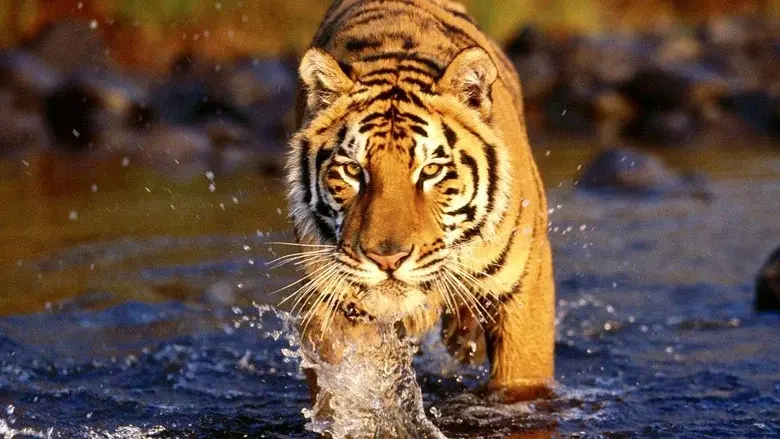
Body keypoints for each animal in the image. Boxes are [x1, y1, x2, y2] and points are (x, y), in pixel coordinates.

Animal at [284, 0, 554, 401]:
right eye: (352, 170)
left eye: (431, 171)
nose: (387, 259)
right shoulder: (330, 300)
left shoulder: (525, 287)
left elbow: (521, 381)